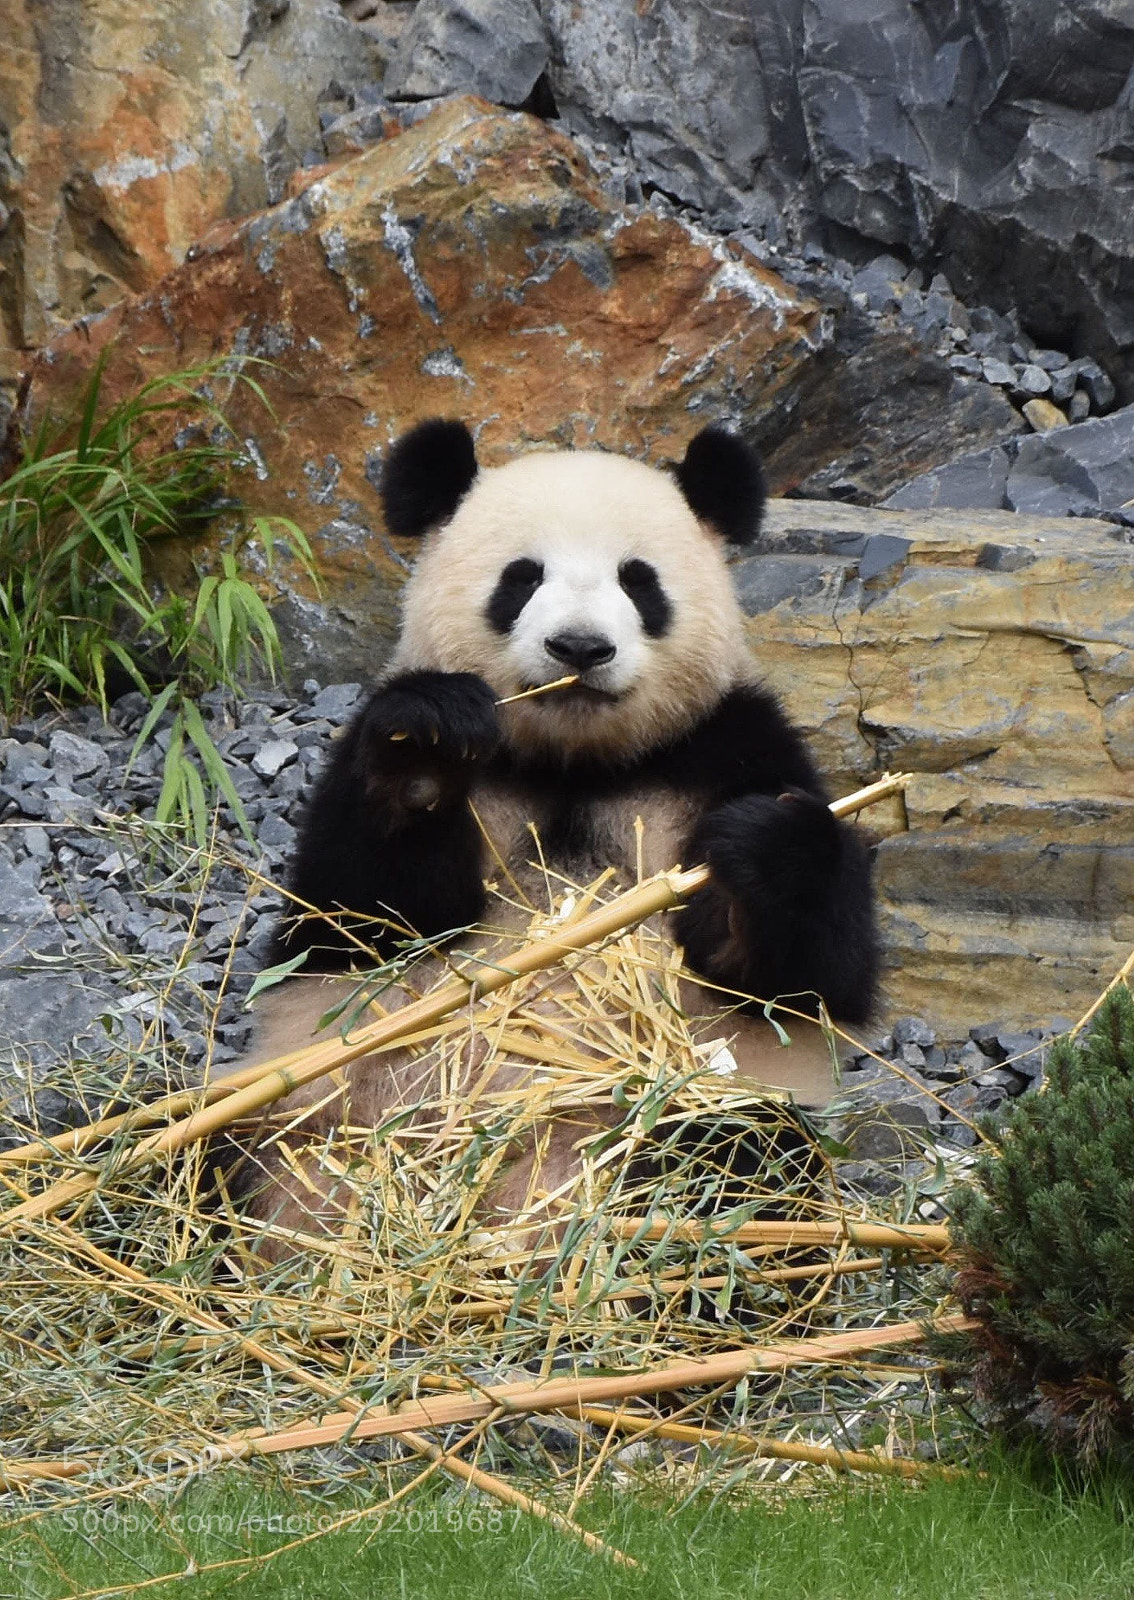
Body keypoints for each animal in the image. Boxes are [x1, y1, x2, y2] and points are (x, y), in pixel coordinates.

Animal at [235, 419, 878, 1258]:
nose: (580, 648)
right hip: (310, 1111)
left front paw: (762, 849)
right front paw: (424, 750)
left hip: (706, 1107)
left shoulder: (731, 745)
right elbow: (359, 915)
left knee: (737, 1162)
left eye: (639, 581)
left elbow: (803, 976)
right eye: (520, 578)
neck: (575, 762)